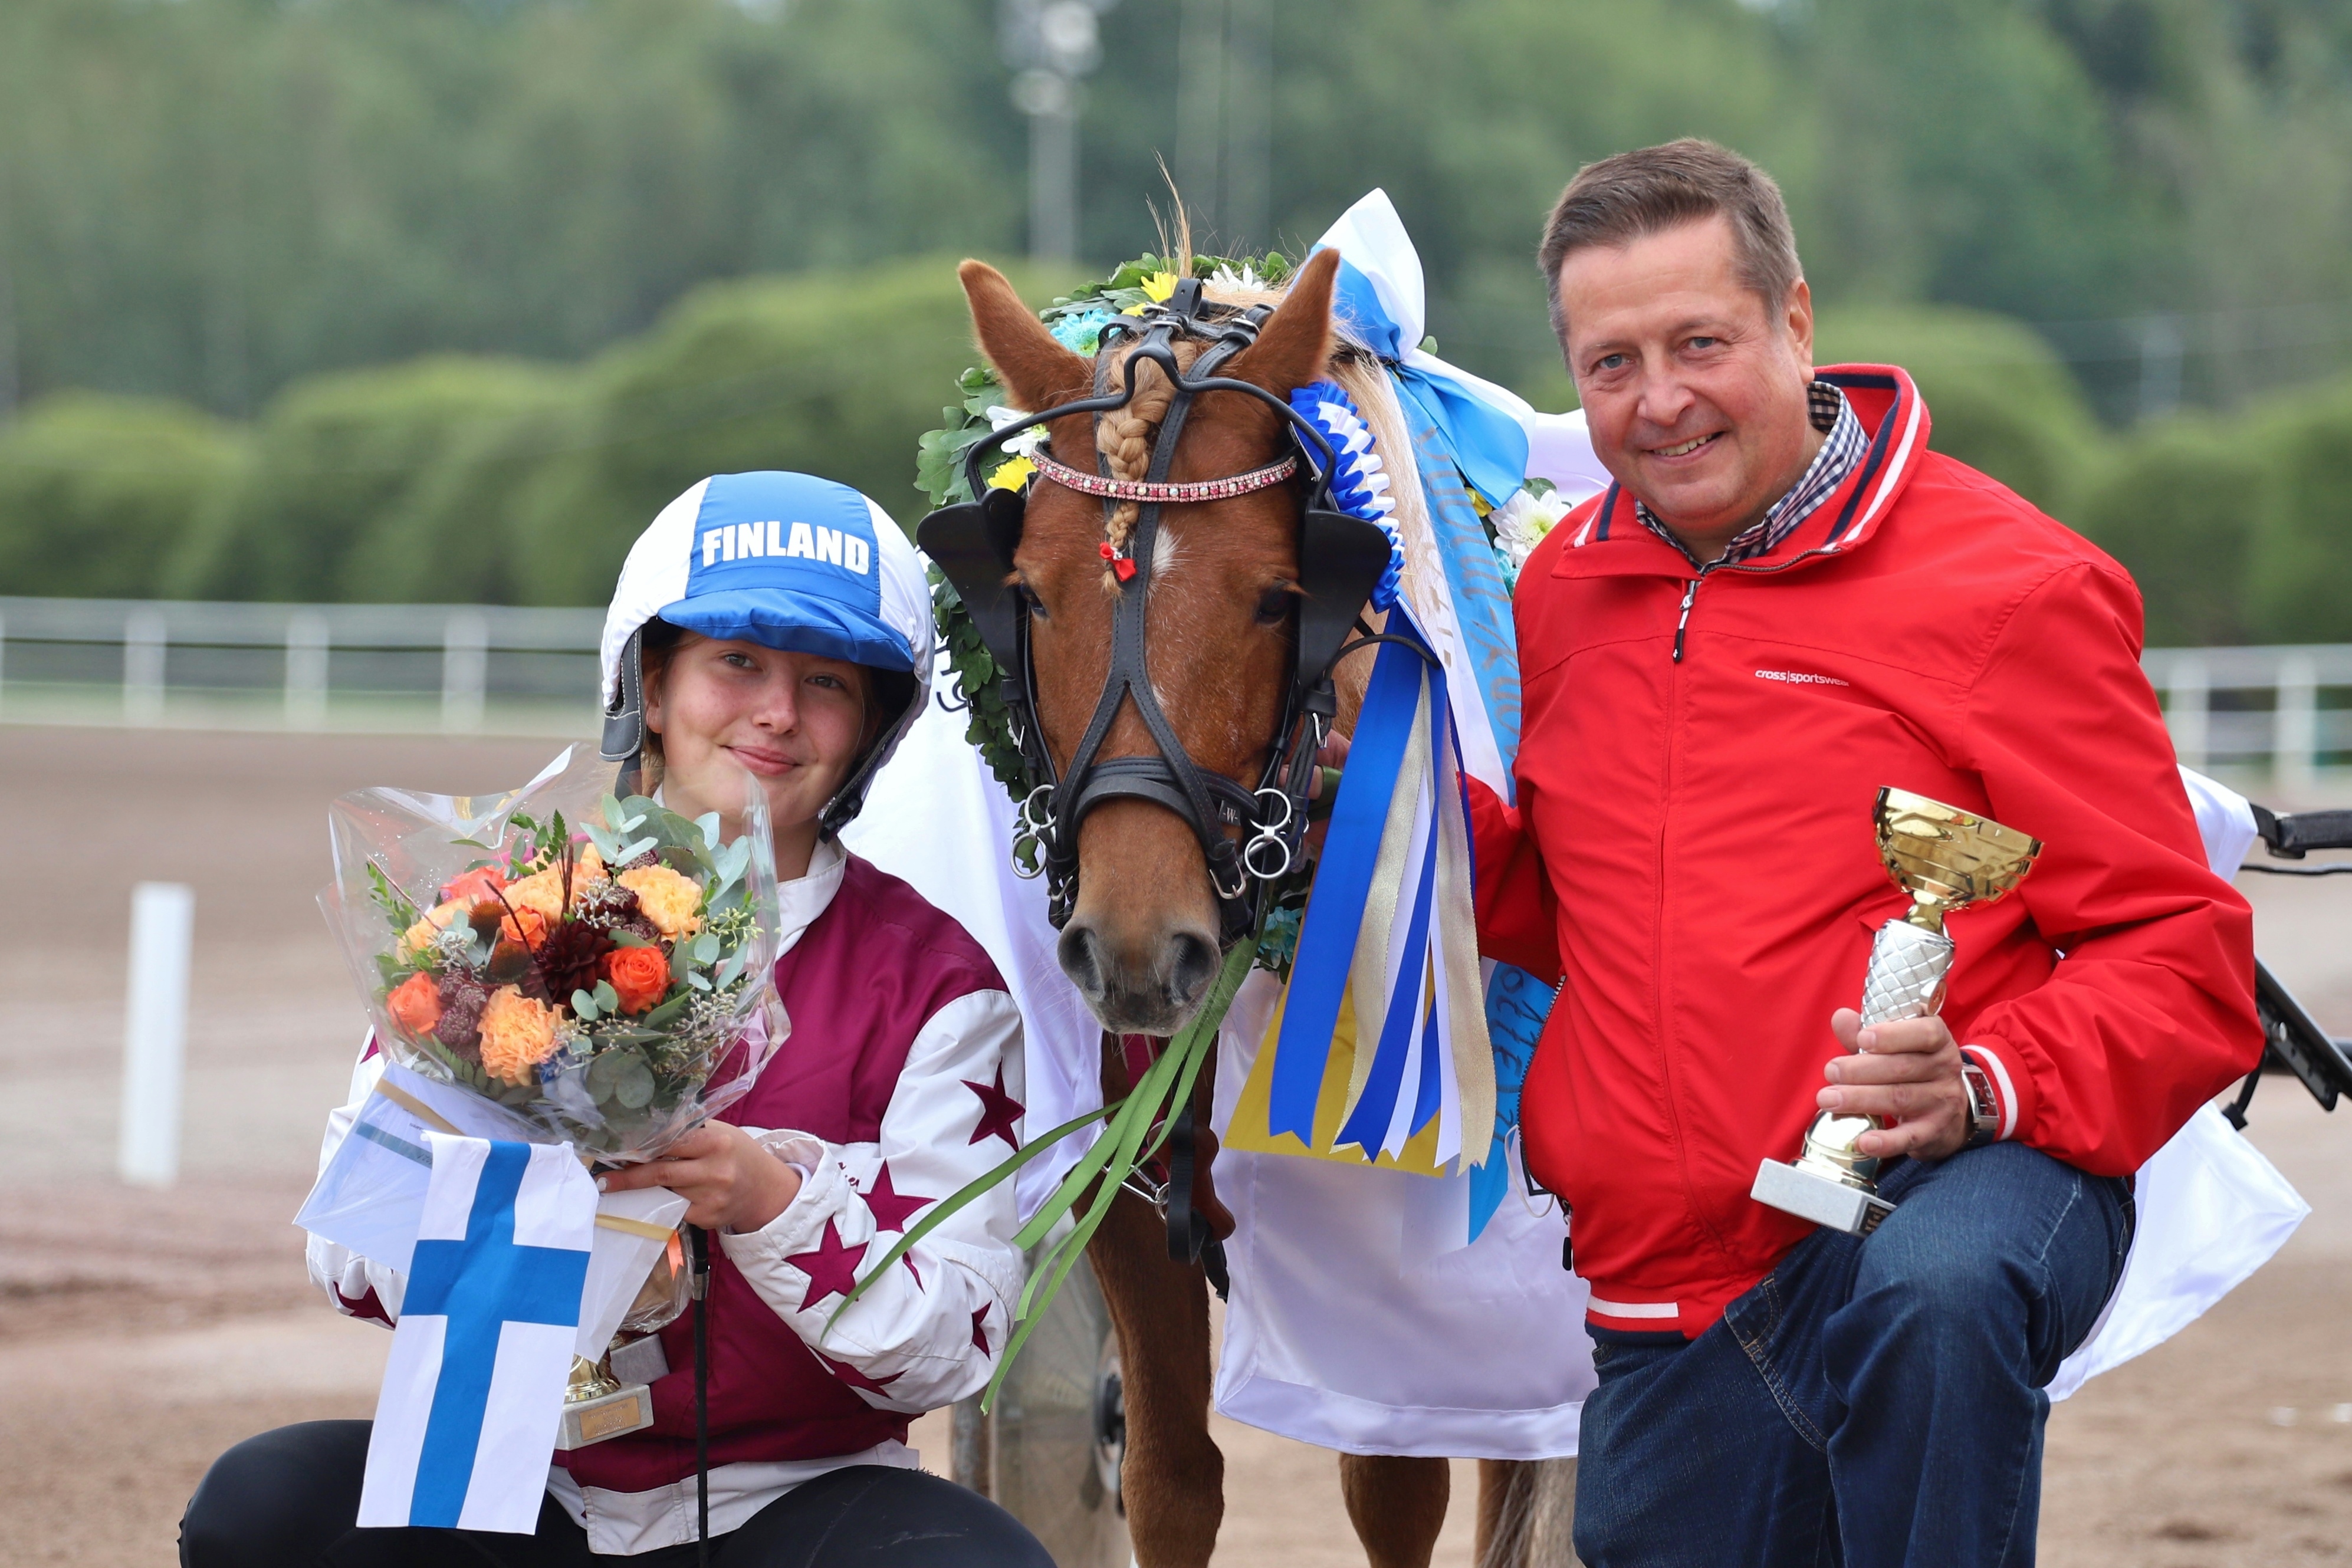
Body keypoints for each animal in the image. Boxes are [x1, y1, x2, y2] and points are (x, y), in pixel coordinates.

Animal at [950, 255, 1580, 1568]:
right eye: (1029, 593)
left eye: (1276, 598)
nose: (1137, 949)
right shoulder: (1129, 1201)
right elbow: (1168, 1479)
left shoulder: (1399, 1273)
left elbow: (1392, 1489)